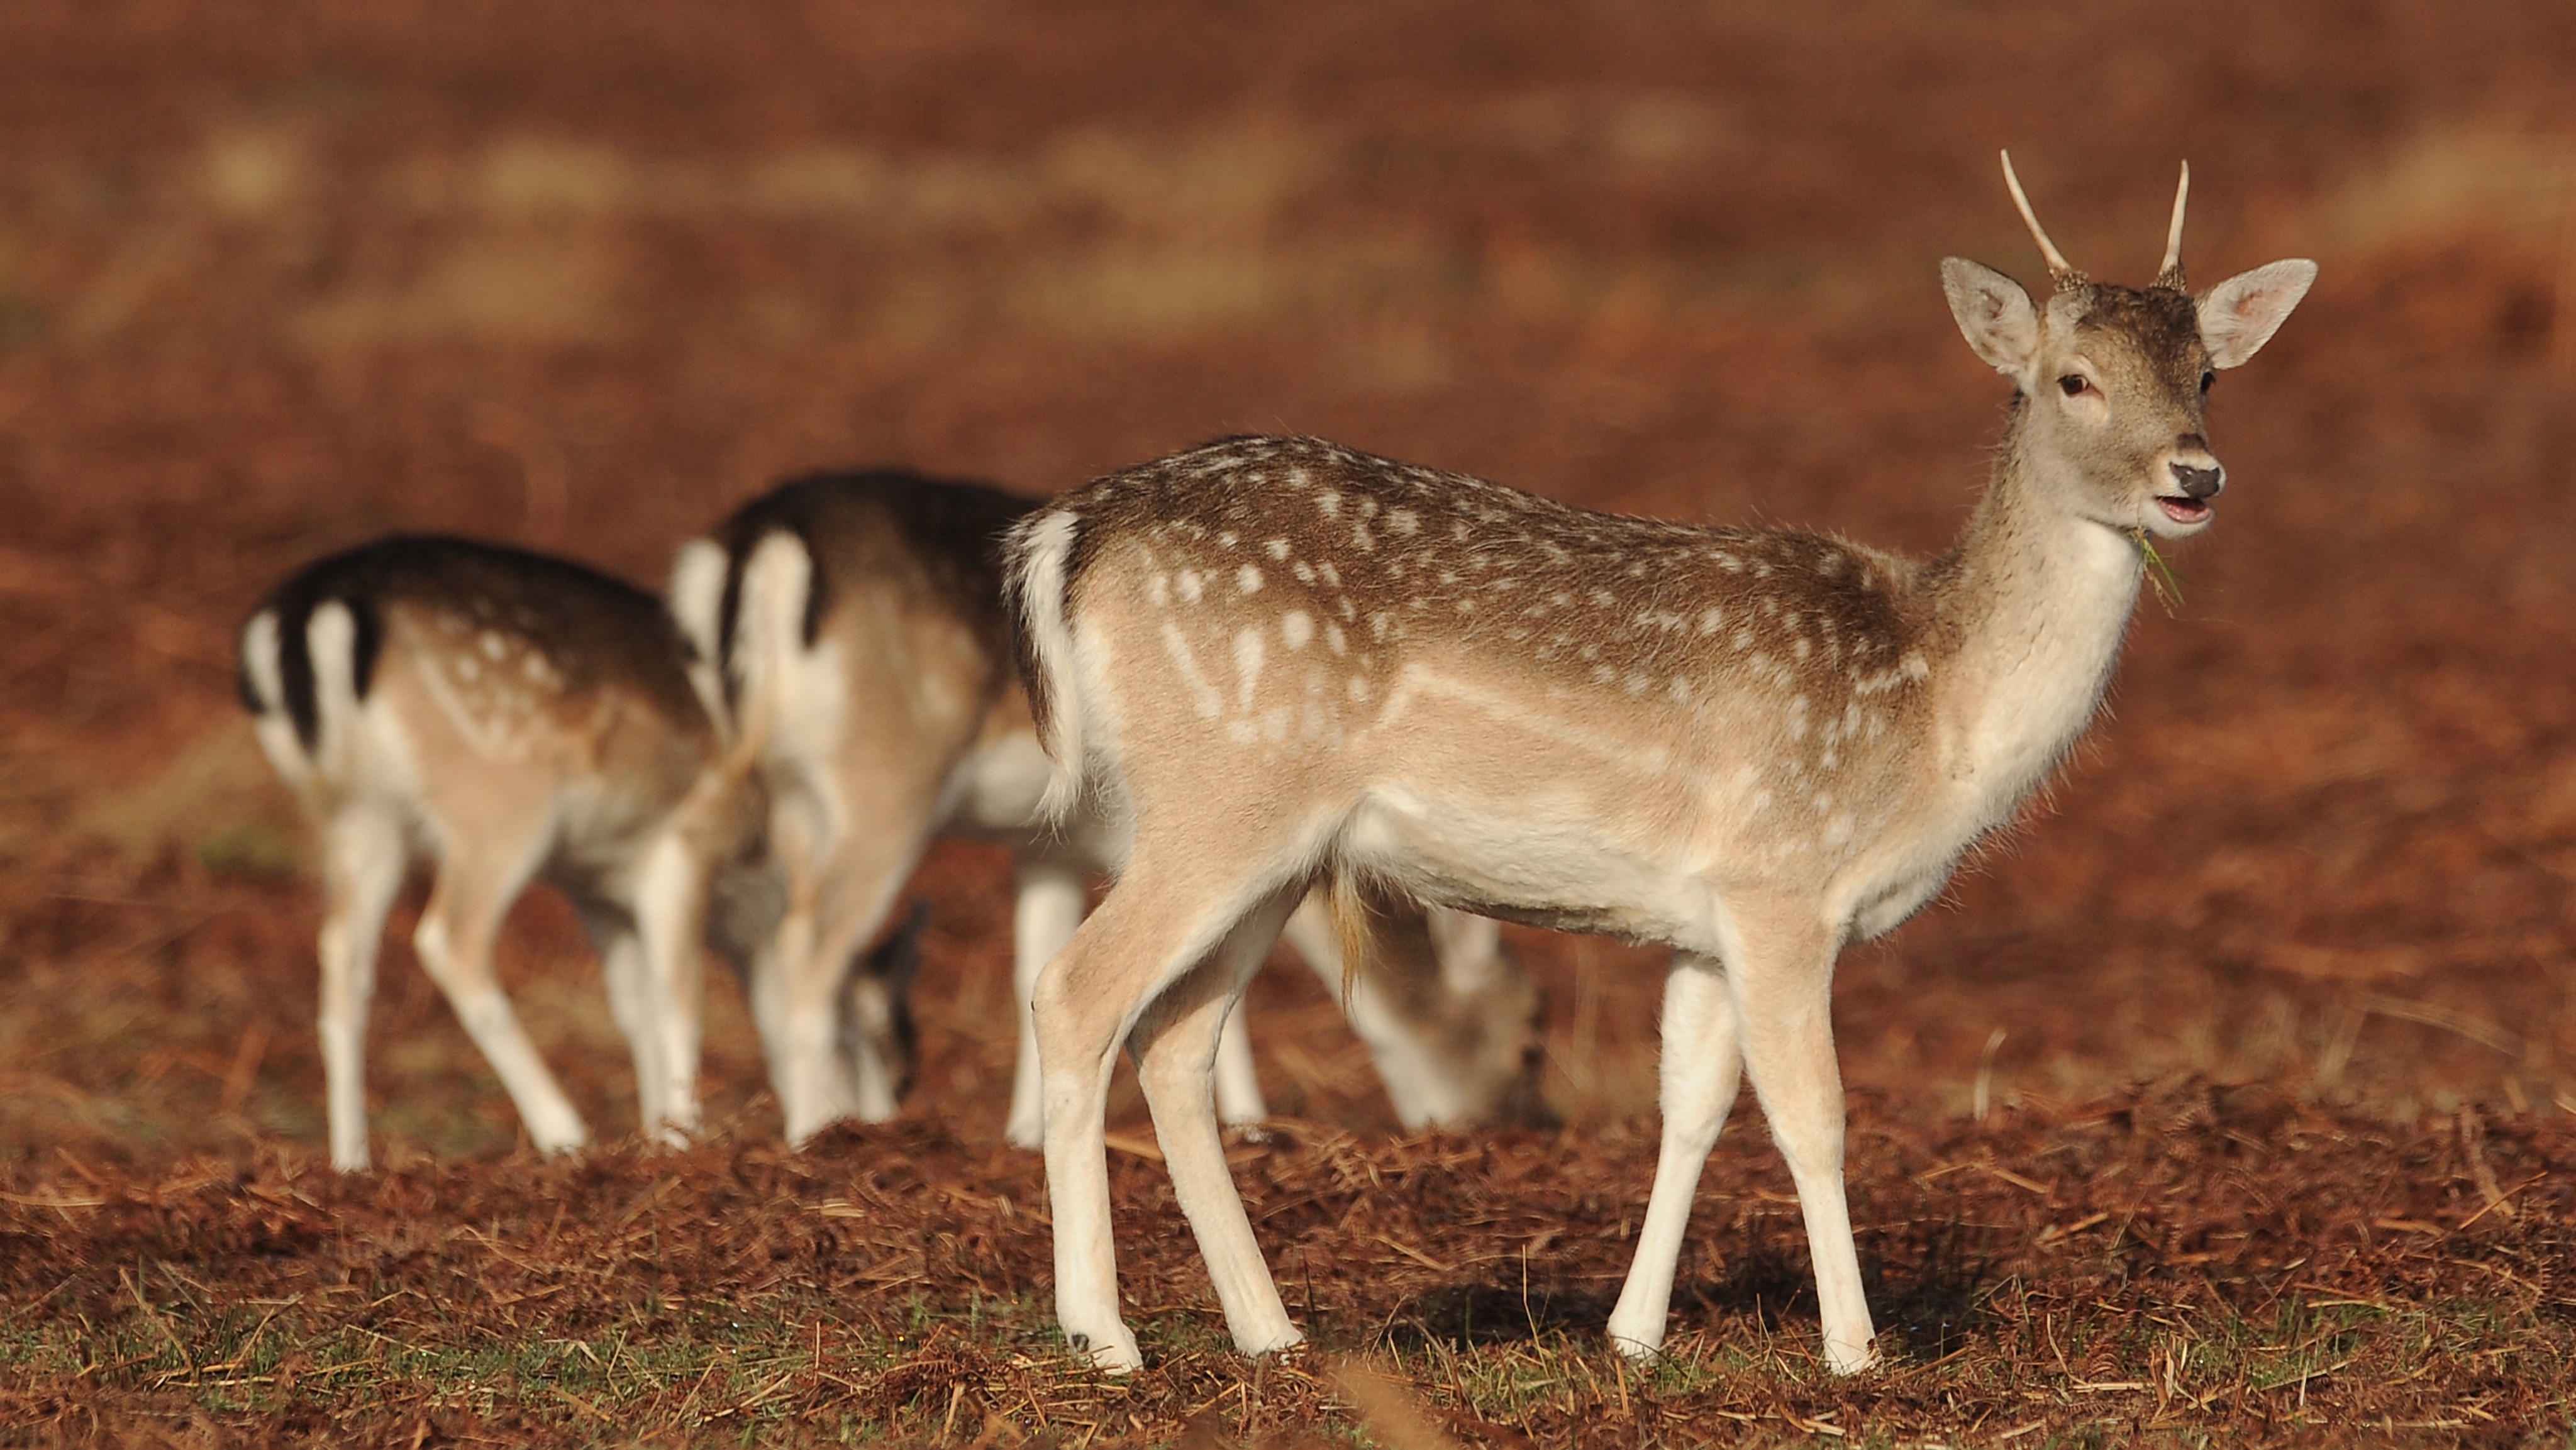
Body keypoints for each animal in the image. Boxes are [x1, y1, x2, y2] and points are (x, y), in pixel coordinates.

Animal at [236, 538, 917, 1174]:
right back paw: (566, 1134)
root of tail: (308, 610)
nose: (879, 1124)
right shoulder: (683, 846)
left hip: (355, 817)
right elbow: (682, 1000)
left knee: (342, 957)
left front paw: (655, 1137)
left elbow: (639, 1009)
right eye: (891, 1044)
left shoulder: (597, 884)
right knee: (449, 938)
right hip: (500, 796)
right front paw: (683, 1142)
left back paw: (351, 1163)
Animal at [669, 476, 1545, 1159]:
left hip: (781, 791)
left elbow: (1033, 961)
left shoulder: (1049, 847)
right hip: (883, 781)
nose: (1517, 1130)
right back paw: (815, 1134)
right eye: (1533, 1040)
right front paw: (1250, 1126)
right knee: (807, 947)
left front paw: (1024, 1135)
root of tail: (760, 545)